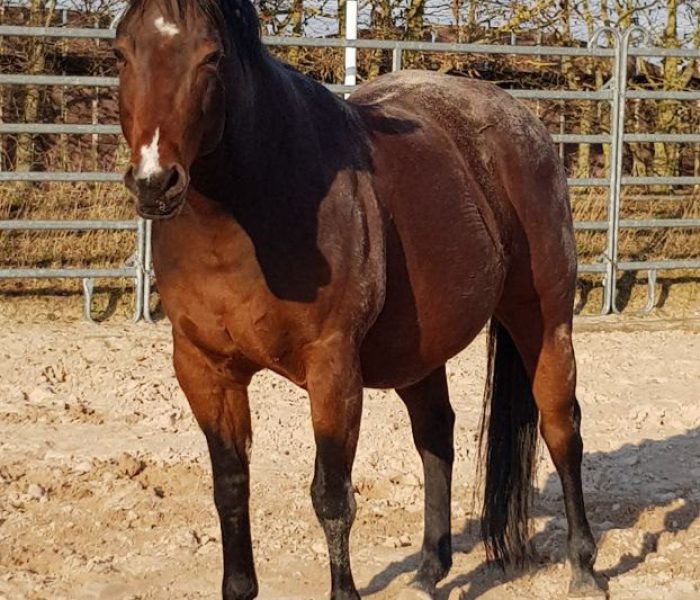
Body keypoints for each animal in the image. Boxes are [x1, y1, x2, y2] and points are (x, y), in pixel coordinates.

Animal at [114, 0, 604, 598]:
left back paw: (584, 566)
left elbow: (331, 496)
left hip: (544, 322)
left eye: (211, 56)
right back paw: (428, 571)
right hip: (420, 350)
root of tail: (522, 120)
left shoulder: (333, 368)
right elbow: (230, 489)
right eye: (121, 52)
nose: (154, 181)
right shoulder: (204, 369)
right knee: (436, 436)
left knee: (562, 428)